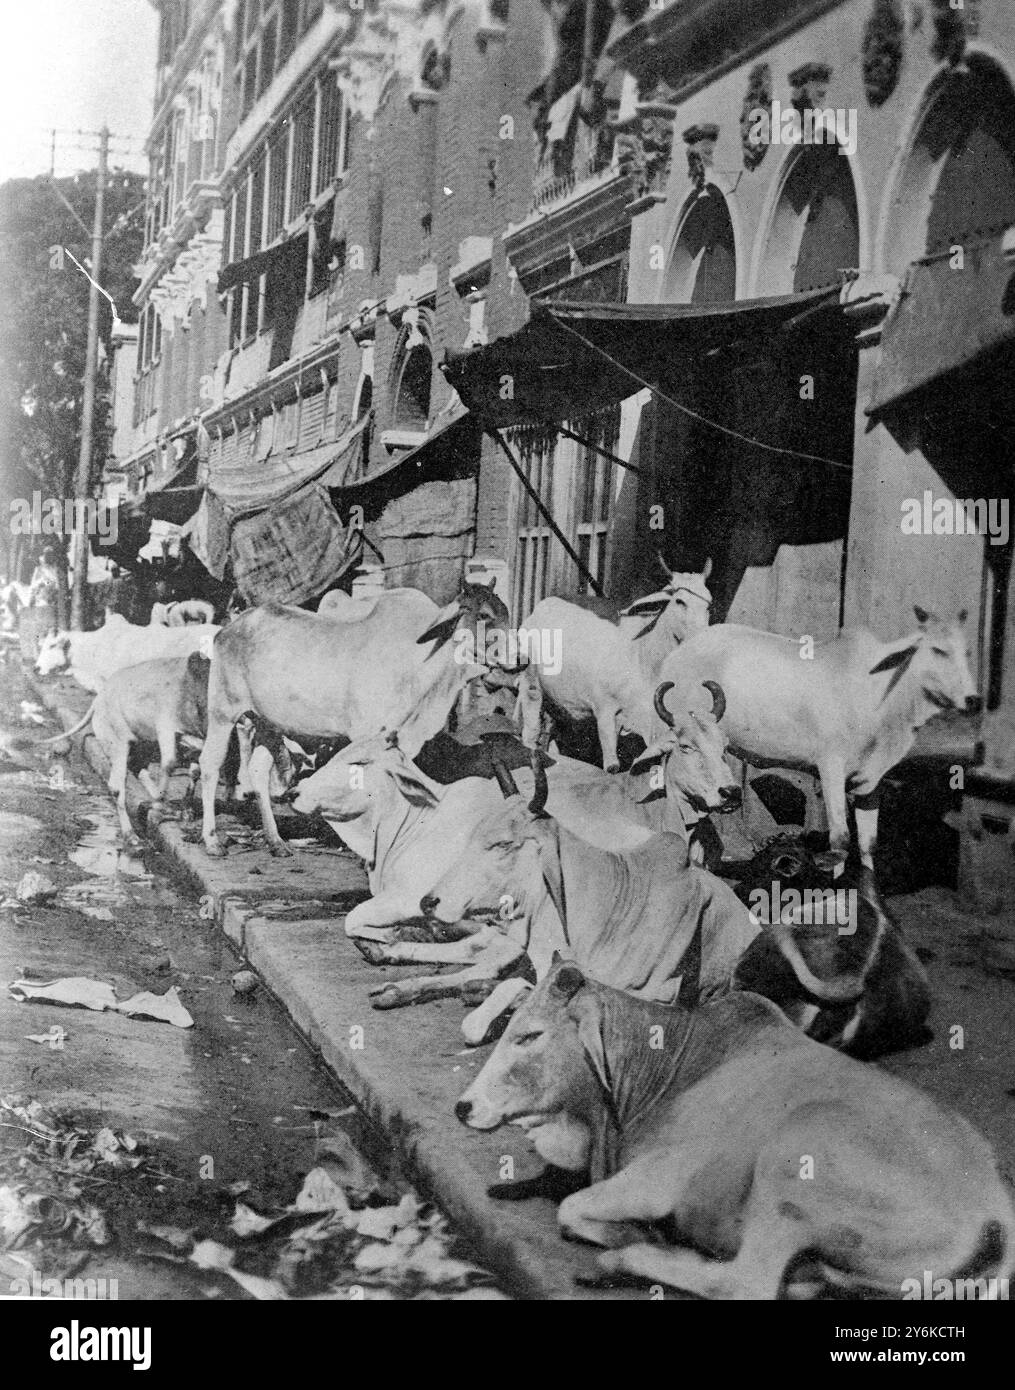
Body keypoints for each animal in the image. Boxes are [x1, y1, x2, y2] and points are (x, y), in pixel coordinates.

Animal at [458, 961, 1012, 1295]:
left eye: (530, 1035)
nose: (464, 1107)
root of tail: (993, 1203)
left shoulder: (661, 1178)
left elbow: (570, 1208)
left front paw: (639, 1235)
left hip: (797, 1157)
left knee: (748, 1282)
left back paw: (627, 1259)